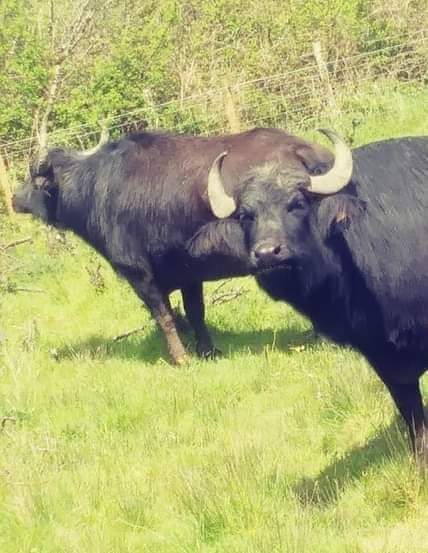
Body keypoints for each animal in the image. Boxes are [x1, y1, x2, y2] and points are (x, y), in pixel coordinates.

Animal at [12, 127, 352, 364]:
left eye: (35, 180)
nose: (14, 198)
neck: (97, 189)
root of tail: (305, 152)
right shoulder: (189, 273)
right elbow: (195, 313)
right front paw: (208, 351)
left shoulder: (140, 275)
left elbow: (164, 316)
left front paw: (180, 358)